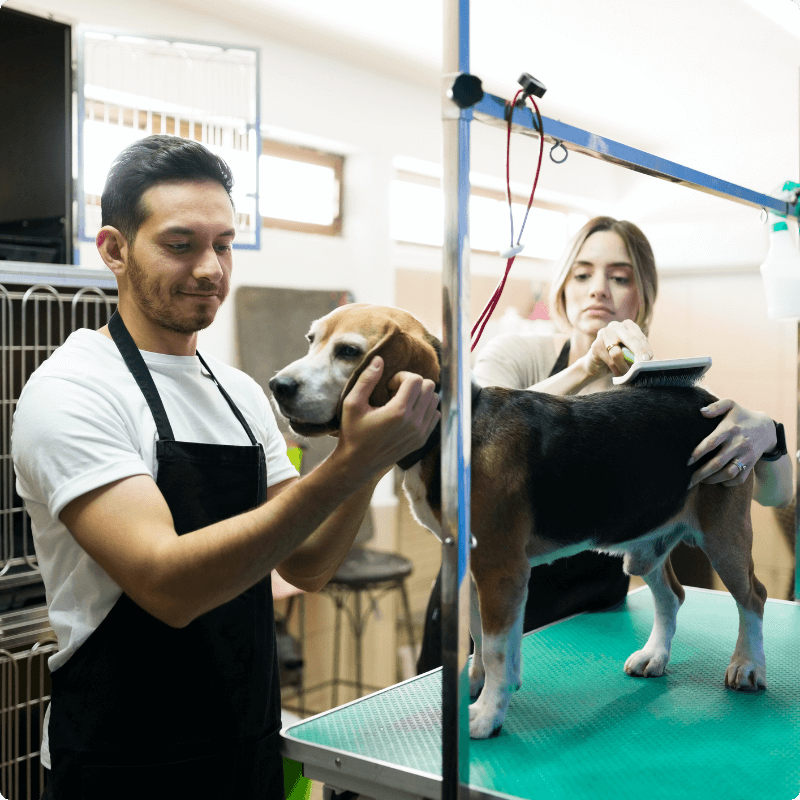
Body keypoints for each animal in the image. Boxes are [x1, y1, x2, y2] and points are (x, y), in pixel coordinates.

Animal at [270, 304, 768, 740]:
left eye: (348, 352)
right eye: (312, 341)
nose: (278, 385)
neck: (447, 436)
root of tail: (705, 398)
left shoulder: (500, 568)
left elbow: (494, 647)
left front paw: (487, 715)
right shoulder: (474, 566)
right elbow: (478, 636)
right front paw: (475, 686)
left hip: (724, 537)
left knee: (753, 598)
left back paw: (748, 665)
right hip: (645, 548)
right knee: (673, 598)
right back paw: (655, 656)